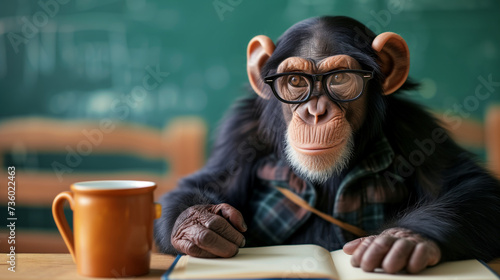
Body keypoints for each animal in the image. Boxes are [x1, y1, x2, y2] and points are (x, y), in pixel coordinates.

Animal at [154, 15, 498, 274]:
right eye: (295, 81)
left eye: (340, 78)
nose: (316, 112)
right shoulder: (241, 131)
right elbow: (209, 181)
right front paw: (200, 223)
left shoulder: (415, 127)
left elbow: (471, 186)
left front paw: (402, 239)